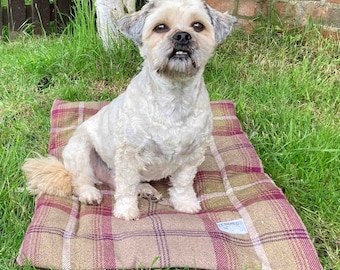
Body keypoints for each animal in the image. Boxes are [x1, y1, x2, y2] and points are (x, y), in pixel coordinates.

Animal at [22, 0, 236, 220]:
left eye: (198, 26)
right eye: (160, 27)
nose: (182, 36)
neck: (174, 99)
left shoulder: (192, 155)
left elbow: (183, 183)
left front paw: (185, 203)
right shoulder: (129, 154)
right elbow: (125, 188)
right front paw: (126, 210)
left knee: (116, 181)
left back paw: (146, 190)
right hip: (80, 151)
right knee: (82, 180)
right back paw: (90, 193)